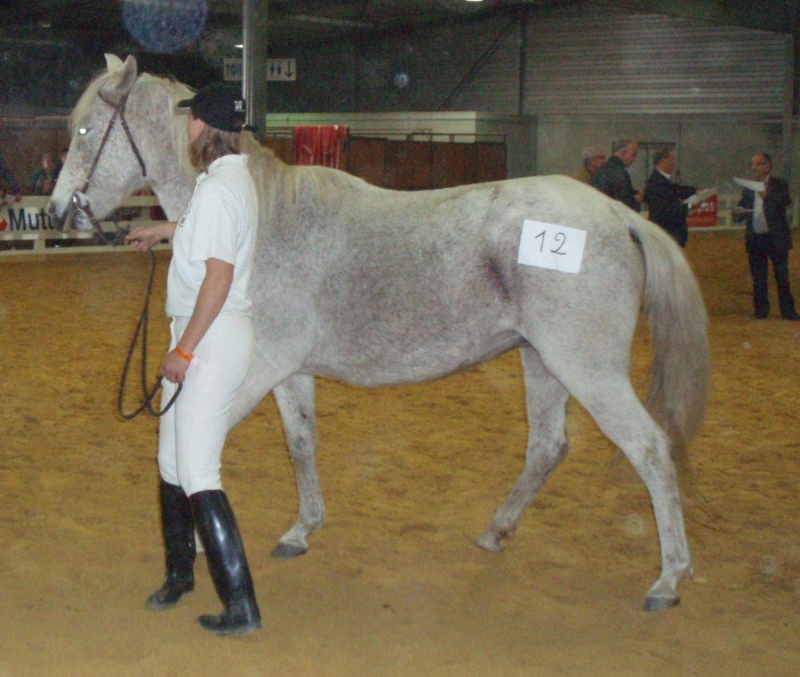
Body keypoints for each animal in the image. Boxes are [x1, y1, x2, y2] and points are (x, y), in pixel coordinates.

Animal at [50, 55, 708, 608]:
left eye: (84, 132)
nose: (59, 213)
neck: (262, 222)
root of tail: (619, 215)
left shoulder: (256, 370)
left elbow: (194, 453)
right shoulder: (290, 372)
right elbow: (301, 443)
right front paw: (301, 530)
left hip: (586, 368)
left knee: (649, 449)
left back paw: (669, 580)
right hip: (541, 362)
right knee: (548, 446)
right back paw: (496, 532)